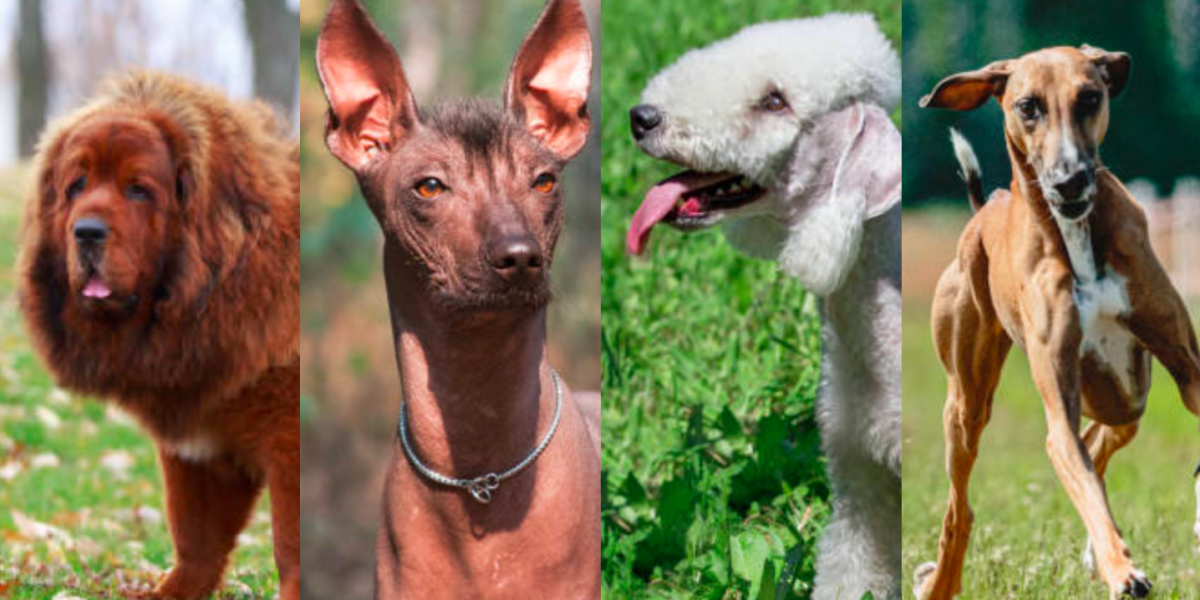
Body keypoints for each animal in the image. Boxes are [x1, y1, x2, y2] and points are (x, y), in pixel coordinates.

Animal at [16, 71, 300, 600]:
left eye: (138, 190)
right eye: (77, 185)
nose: (86, 231)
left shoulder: (286, 438)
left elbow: (289, 546)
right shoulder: (200, 447)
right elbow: (196, 540)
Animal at [912, 45, 1195, 600]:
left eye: (1089, 97)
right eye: (1028, 106)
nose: (1070, 181)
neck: (1077, 232)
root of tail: (986, 209)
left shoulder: (1187, 368)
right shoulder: (1058, 403)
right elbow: (1077, 471)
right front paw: (1123, 570)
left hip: (1125, 394)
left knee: (1102, 438)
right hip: (966, 406)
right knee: (960, 509)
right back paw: (940, 581)